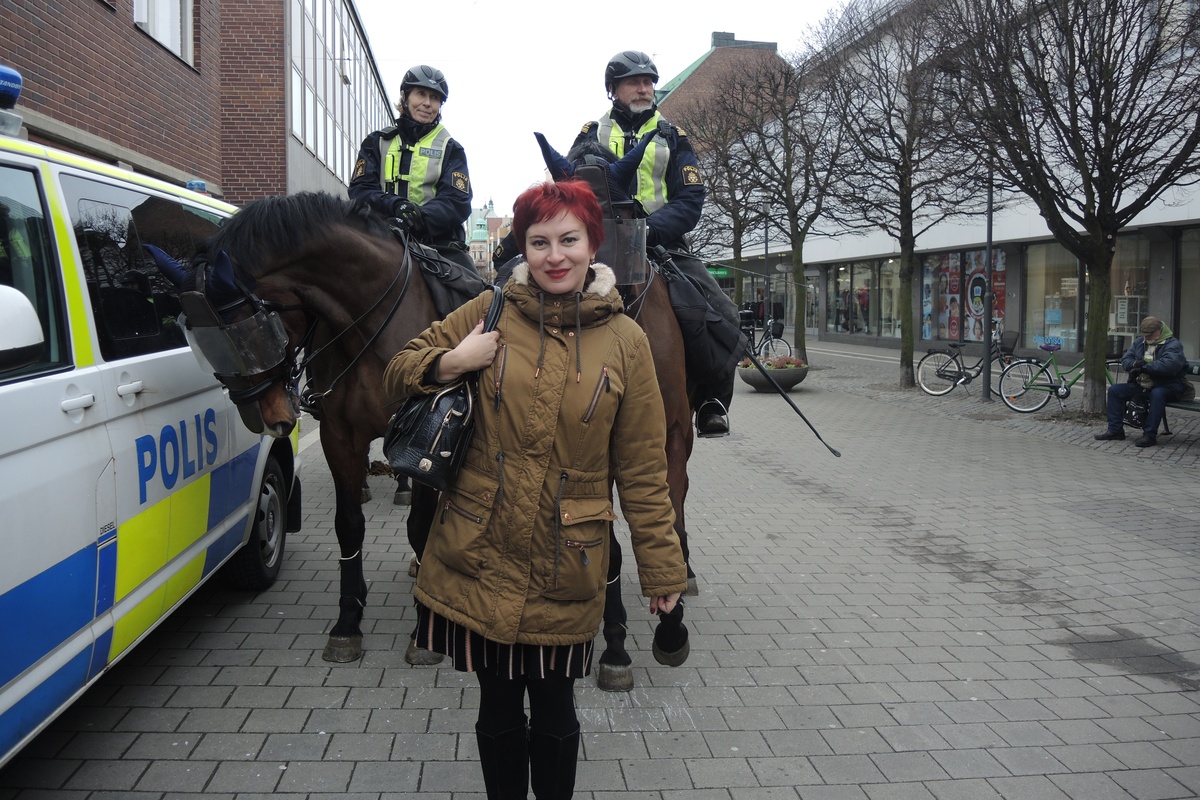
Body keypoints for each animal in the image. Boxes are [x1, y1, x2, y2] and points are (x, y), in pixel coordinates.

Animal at [152, 194, 444, 662]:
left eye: (247, 335)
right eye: (201, 342)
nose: (265, 417)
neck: (370, 324)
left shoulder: (425, 437)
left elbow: (419, 524)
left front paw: (423, 631)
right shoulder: (339, 436)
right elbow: (348, 524)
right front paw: (348, 620)